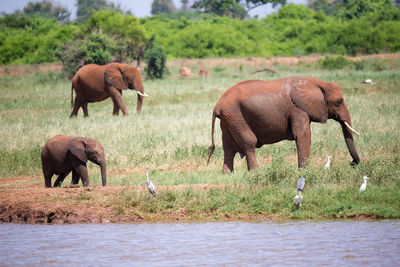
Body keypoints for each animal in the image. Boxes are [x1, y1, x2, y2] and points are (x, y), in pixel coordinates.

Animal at [208, 76, 360, 175]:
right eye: (339, 101)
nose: (352, 163)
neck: (317, 82)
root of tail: (217, 105)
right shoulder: (298, 110)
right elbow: (303, 135)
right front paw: (304, 172)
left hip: (229, 119)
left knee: (228, 148)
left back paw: (227, 175)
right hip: (236, 116)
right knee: (249, 143)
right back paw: (256, 173)